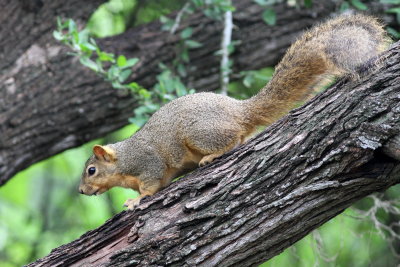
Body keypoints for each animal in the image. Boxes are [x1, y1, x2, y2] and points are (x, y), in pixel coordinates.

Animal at [77, 14, 388, 211]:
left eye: (91, 170)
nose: (81, 191)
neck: (123, 159)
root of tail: (238, 110)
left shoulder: (147, 163)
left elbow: (150, 186)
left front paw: (135, 201)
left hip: (198, 133)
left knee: (235, 137)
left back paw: (213, 155)